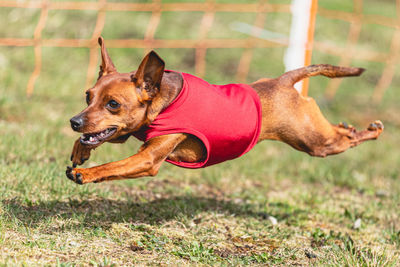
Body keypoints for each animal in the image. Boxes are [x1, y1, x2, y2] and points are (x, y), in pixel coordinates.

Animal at [66, 36, 384, 185]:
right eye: (88, 96)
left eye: (113, 104)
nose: (74, 122)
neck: (165, 102)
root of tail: (282, 80)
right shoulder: (125, 132)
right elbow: (98, 138)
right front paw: (80, 151)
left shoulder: (147, 159)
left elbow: (112, 167)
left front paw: (87, 173)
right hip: (316, 136)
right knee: (343, 131)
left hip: (314, 142)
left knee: (348, 139)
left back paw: (372, 130)